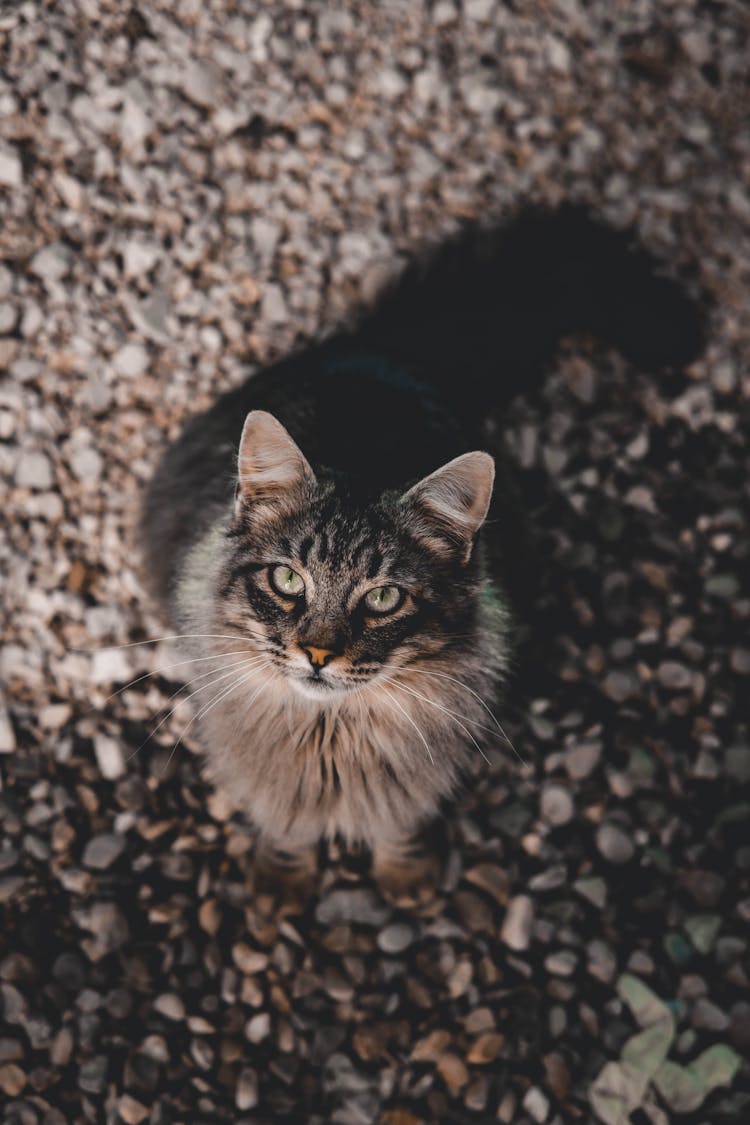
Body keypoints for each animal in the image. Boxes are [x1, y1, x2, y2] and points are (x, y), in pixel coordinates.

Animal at [139, 207, 706, 900]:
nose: (317, 655)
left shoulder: (416, 777)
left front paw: (406, 875)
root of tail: (379, 347)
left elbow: (398, 822)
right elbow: (283, 822)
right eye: (288, 580)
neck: (332, 734)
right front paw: (281, 881)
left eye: (384, 598)